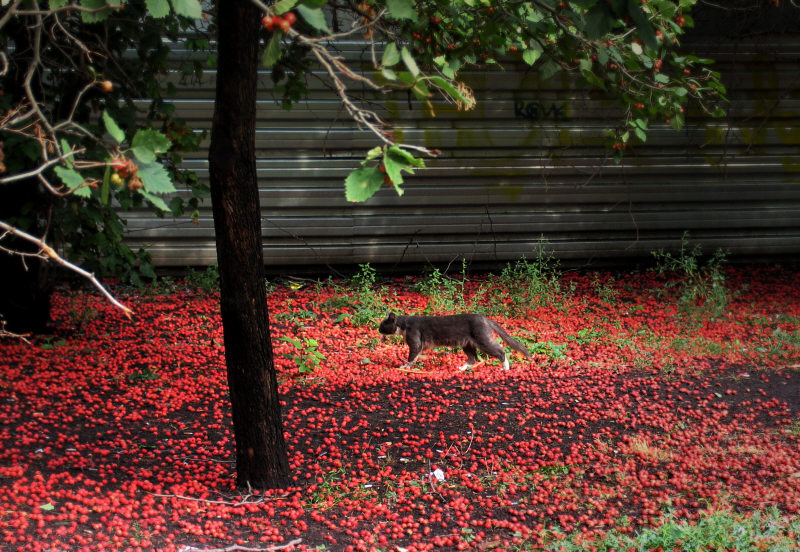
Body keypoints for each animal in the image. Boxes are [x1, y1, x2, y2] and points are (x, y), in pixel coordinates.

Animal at [380, 310, 532, 370]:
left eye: (382, 325)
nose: (378, 329)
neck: (404, 326)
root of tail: (484, 318)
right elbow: (416, 356)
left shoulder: (415, 342)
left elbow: (411, 356)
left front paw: (405, 367)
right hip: (467, 344)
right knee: (473, 358)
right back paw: (462, 368)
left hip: (482, 339)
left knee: (501, 351)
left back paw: (505, 368)